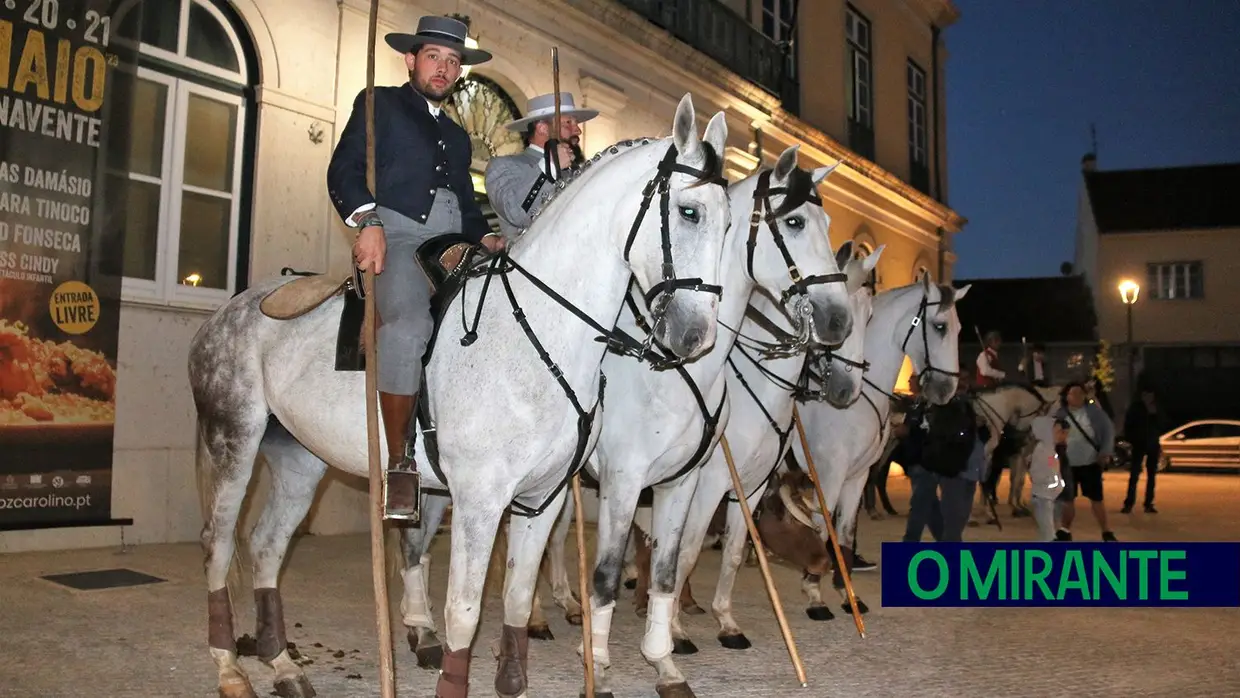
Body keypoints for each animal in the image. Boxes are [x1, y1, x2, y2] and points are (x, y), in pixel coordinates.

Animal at [187, 94, 729, 698]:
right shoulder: (481, 499)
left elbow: (516, 599)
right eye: (689, 212)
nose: (697, 336)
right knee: (219, 543)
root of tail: (228, 312)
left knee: (266, 545)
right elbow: (465, 613)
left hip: (301, 460)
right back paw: (231, 668)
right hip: (233, 441)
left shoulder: (541, 498)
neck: (536, 330)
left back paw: (282, 664)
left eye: (731, 222)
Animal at [788, 277, 972, 617]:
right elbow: (822, 526)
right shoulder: (829, 475)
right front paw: (814, 592)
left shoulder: (857, 475)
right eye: (940, 326)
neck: (858, 394)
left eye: (959, 327)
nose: (946, 390)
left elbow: (845, 531)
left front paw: (848, 595)